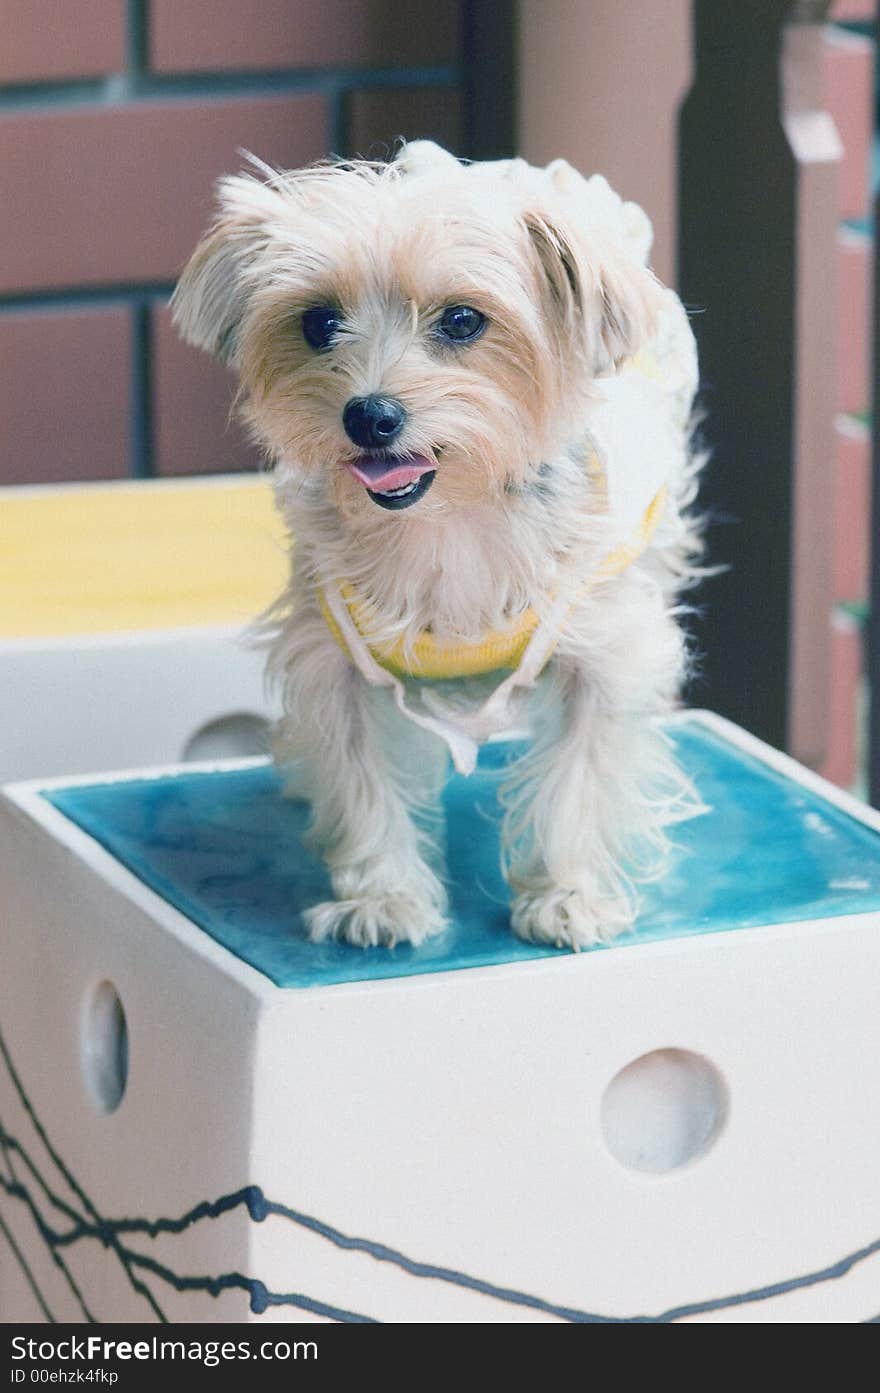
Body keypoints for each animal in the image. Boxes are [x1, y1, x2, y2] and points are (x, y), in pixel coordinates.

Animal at [175, 138, 704, 947]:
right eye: (317, 323)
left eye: (461, 320)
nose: (370, 415)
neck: (446, 521)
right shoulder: (334, 660)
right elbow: (363, 779)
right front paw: (382, 896)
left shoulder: (606, 650)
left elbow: (580, 777)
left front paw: (568, 893)